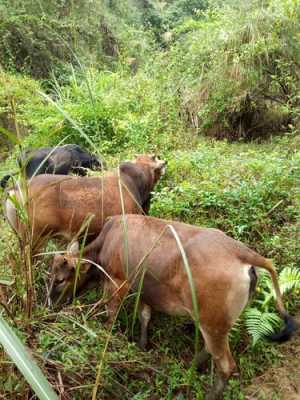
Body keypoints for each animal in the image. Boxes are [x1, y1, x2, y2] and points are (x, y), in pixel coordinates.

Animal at [50, 216, 296, 400]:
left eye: (60, 280)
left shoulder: (118, 281)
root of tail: (242, 252)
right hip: (215, 323)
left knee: (226, 365)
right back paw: (191, 367)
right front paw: (142, 344)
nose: (51, 305)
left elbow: (110, 315)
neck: (107, 241)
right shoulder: (144, 289)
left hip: (212, 323)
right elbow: (145, 316)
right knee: (210, 349)